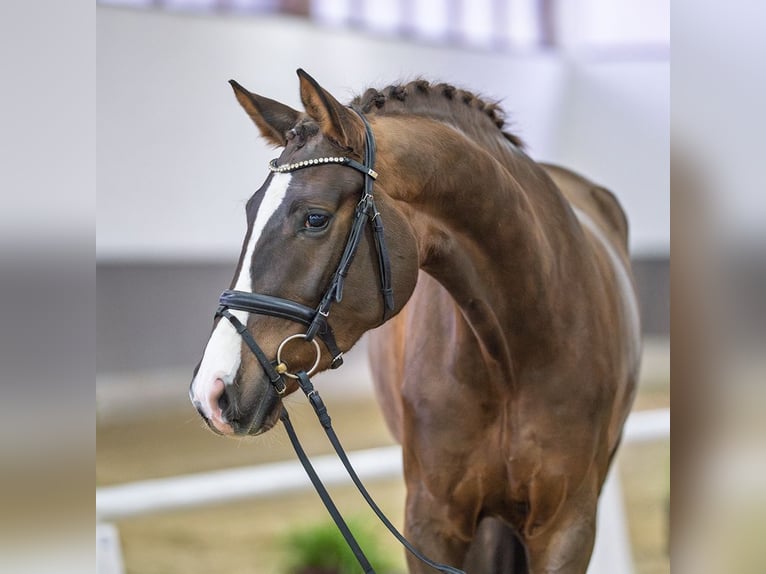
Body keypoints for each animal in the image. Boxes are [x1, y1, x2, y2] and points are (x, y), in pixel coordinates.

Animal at [189, 69, 641, 573]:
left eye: (315, 218)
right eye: (250, 212)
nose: (211, 392)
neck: (516, 352)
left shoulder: (566, 528)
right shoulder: (431, 524)